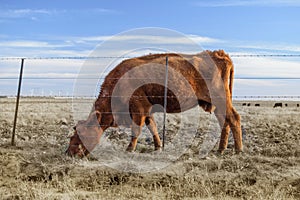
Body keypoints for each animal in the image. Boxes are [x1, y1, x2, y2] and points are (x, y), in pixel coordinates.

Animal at [67, 49, 243, 156]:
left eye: (79, 135)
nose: (68, 153)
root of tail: (220, 54)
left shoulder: (138, 110)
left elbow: (136, 130)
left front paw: (129, 149)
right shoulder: (147, 110)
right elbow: (153, 128)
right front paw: (158, 147)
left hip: (222, 100)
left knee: (233, 118)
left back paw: (238, 150)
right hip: (218, 105)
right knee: (225, 122)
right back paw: (221, 149)